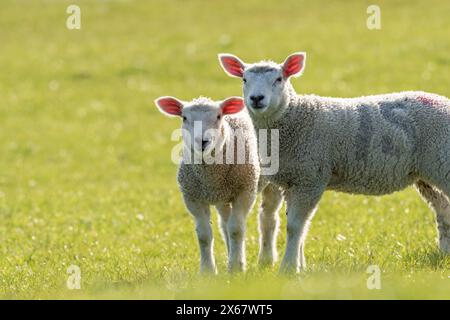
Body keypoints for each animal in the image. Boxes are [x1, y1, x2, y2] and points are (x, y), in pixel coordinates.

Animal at [155, 95, 282, 272]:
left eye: (218, 116)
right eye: (184, 118)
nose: (202, 141)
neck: (211, 176)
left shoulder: (245, 191)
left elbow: (236, 230)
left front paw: (236, 267)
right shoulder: (193, 197)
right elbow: (204, 235)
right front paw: (208, 270)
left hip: (272, 183)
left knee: (268, 218)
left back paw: (266, 259)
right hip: (223, 197)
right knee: (225, 224)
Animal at [219, 52, 450, 272]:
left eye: (279, 79)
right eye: (244, 79)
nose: (256, 98)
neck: (294, 119)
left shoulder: (310, 178)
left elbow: (295, 226)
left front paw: (288, 268)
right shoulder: (293, 181)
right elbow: (300, 226)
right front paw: (299, 267)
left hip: (443, 162)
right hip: (427, 174)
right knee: (443, 209)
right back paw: (444, 254)